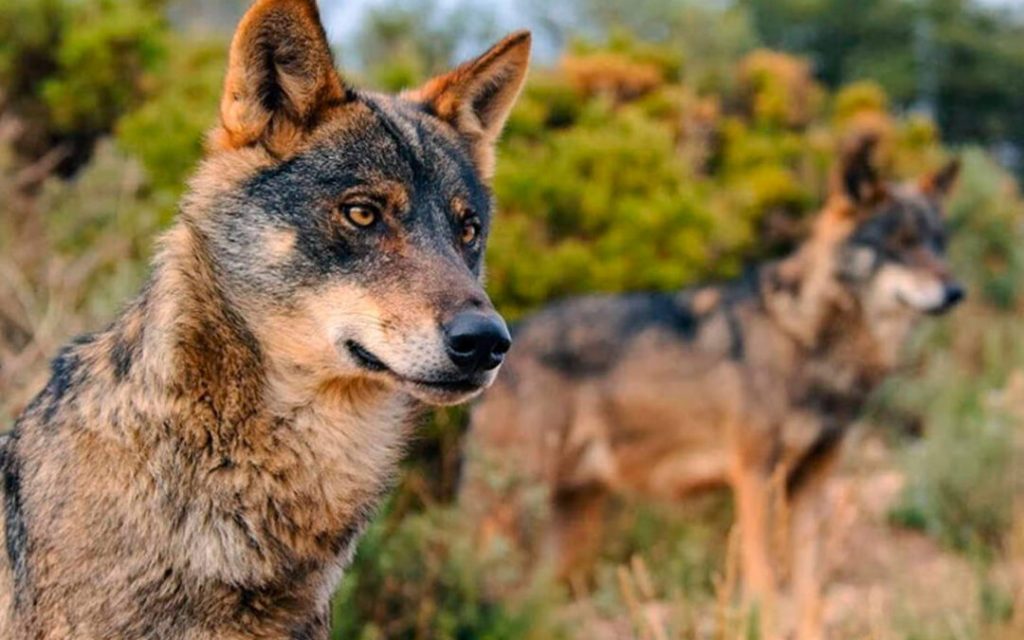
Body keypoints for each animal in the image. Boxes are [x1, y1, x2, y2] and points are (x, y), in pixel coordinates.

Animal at [462, 134, 962, 639]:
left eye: (938, 243)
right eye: (900, 243)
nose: (956, 291)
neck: (806, 335)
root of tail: (507, 340)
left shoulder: (813, 484)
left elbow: (810, 594)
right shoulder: (755, 477)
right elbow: (765, 585)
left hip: (571, 527)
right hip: (512, 510)